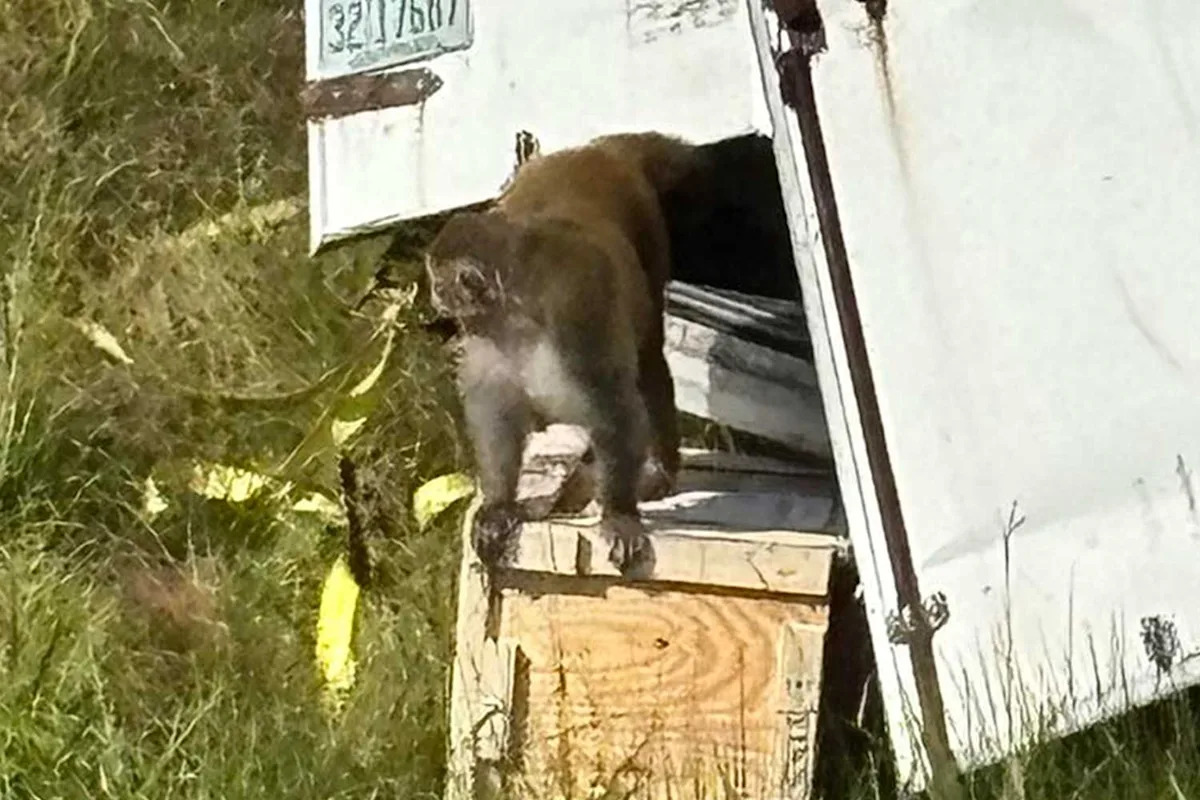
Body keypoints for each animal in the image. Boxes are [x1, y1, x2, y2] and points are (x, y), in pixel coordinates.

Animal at [425, 132, 707, 575]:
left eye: (440, 283)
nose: (434, 296)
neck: (517, 311)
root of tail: (594, 151)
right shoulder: (486, 337)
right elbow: (496, 413)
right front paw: (499, 504)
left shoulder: (576, 314)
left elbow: (613, 404)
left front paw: (619, 513)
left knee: (648, 361)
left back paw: (660, 469)